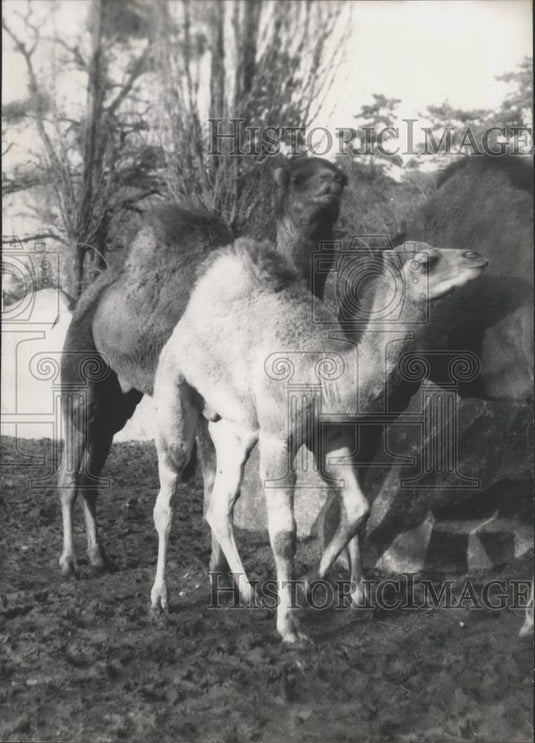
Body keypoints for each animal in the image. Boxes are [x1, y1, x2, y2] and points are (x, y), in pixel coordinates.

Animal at [57, 156, 347, 577]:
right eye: (298, 178)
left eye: (337, 174)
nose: (334, 181)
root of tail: (95, 290)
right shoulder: (209, 401)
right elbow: (213, 487)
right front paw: (219, 572)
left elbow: (221, 490)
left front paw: (218, 570)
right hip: (80, 358)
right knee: (73, 457)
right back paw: (68, 561)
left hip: (119, 394)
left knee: (95, 460)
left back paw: (99, 555)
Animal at [150, 239, 487, 643]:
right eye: (425, 262)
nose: (476, 257)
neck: (322, 373)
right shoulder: (279, 436)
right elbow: (284, 533)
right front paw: (290, 625)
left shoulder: (331, 436)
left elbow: (358, 507)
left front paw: (333, 594)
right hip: (172, 389)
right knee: (167, 497)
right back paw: (161, 599)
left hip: (233, 426)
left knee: (219, 502)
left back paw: (238, 589)